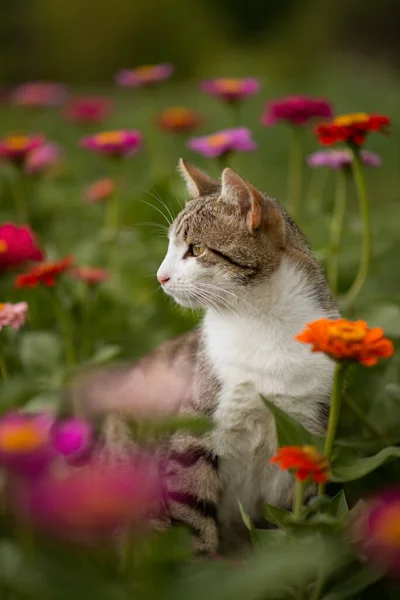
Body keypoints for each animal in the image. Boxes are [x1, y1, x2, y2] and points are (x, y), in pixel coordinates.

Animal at [71, 161, 338, 556]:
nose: (160, 277)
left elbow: (287, 523)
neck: (262, 322)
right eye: (169, 246)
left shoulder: (302, 432)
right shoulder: (194, 435)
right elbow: (193, 521)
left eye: (195, 249)